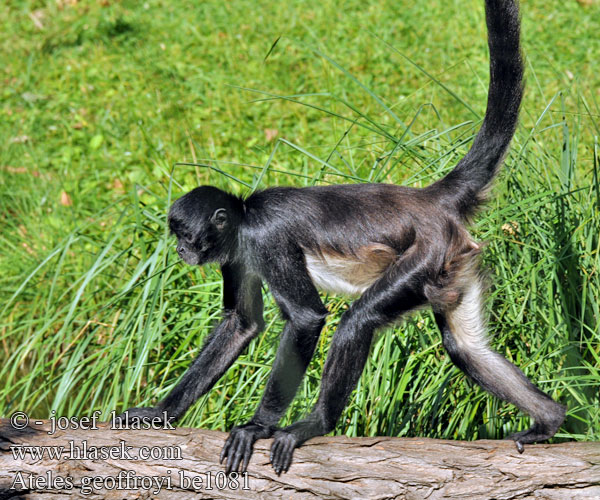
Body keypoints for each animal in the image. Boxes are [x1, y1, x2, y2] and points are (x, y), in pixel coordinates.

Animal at [118, 0, 568, 476]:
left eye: (186, 235)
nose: (181, 250)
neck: (245, 216)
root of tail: (428, 200)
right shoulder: (238, 255)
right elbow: (242, 324)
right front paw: (160, 413)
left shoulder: (266, 238)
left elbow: (307, 318)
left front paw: (257, 426)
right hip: (454, 265)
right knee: (464, 348)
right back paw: (549, 420)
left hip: (426, 254)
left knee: (359, 319)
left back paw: (314, 423)